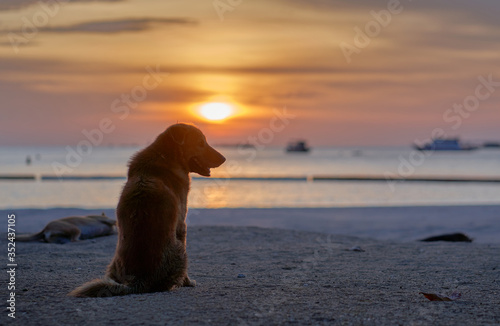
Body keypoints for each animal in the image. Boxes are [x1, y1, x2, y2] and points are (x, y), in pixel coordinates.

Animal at [69, 123, 226, 298]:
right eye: (201, 143)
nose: (224, 159)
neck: (166, 157)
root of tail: (138, 280)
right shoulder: (181, 224)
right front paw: (188, 282)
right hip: (180, 250)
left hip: (113, 262)